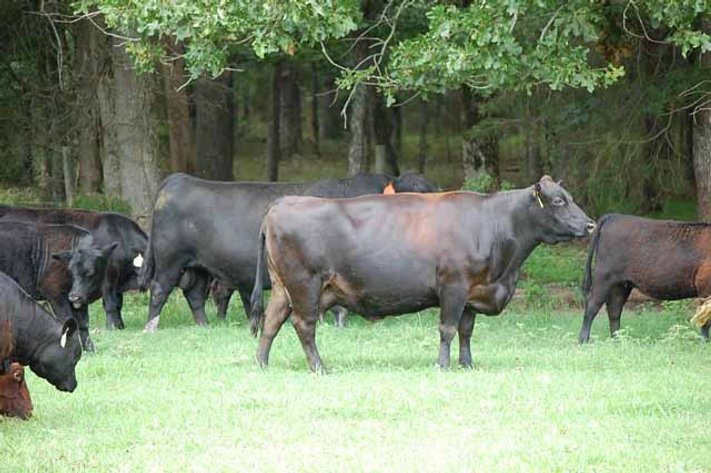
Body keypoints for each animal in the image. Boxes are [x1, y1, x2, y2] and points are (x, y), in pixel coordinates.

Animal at [0, 221, 115, 351]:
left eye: (90, 272)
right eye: (71, 270)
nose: (74, 297)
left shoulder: (80, 298)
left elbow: (83, 323)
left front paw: (89, 348)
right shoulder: (55, 294)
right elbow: (67, 319)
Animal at [139, 171, 438, 331]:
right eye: (414, 193)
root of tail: (178, 180)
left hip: (198, 266)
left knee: (194, 294)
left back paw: (204, 326)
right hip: (170, 260)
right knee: (160, 290)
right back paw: (150, 327)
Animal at [249, 176, 595, 372]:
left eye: (571, 198)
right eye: (559, 200)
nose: (591, 224)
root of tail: (282, 203)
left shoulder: (473, 290)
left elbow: (466, 331)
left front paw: (467, 364)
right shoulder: (453, 286)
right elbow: (448, 329)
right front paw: (442, 365)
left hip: (282, 287)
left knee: (271, 321)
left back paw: (262, 362)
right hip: (304, 284)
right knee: (303, 325)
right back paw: (319, 366)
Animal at [579, 214, 711, 343]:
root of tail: (613, 216)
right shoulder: (705, 290)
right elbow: (705, 320)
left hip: (622, 285)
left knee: (614, 310)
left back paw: (618, 340)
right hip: (604, 280)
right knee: (592, 307)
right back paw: (583, 341)